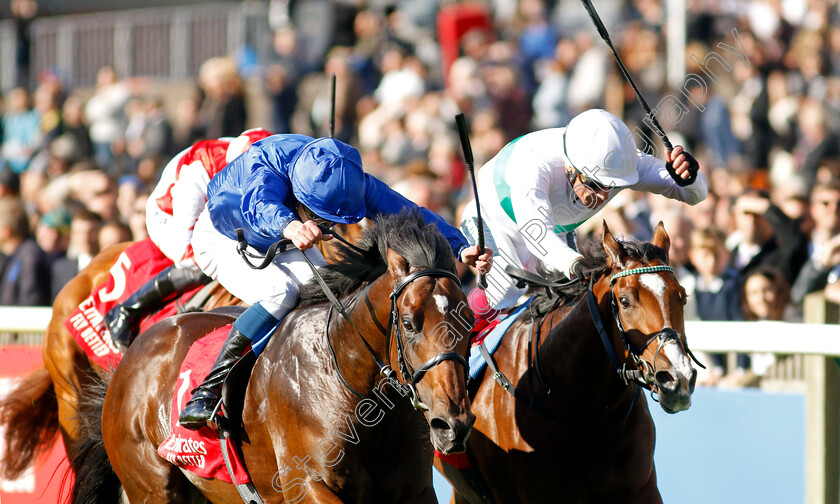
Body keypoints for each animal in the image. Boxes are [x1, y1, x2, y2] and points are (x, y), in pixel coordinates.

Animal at [72, 213, 480, 504]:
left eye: (471, 322)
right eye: (408, 323)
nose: (452, 424)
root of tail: (129, 357)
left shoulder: (415, 490)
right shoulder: (309, 484)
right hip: (152, 488)